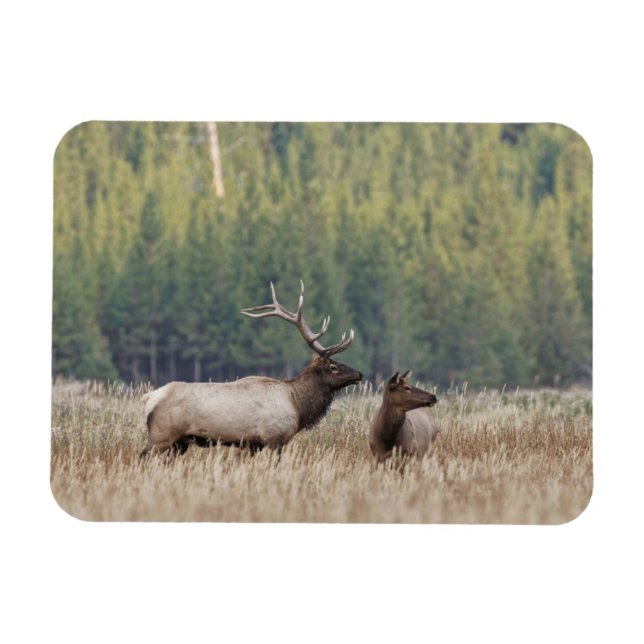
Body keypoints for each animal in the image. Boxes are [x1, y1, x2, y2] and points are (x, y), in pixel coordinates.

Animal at [140, 281, 362, 457]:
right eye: (333, 366)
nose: (359, 374)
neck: (297, 406)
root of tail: (149, 398)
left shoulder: (252, 445)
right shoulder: (274, 439)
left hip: (180, 442)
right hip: (161, 435)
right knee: (143, 456)